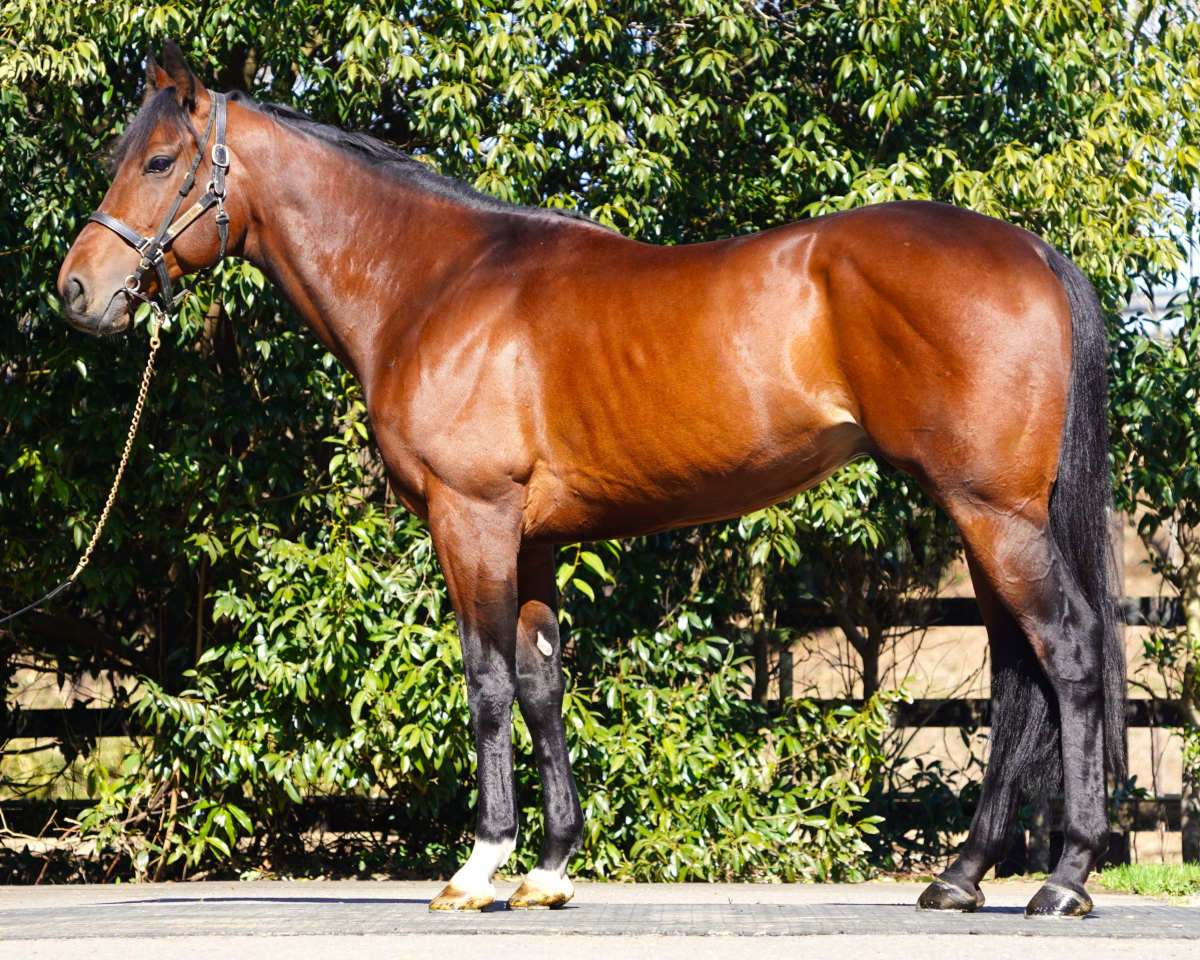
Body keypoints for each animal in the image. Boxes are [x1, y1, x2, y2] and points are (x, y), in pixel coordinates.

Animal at [60, 41, 1124, 917]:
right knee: (1016, 670)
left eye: (160, 163)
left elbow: (487, 682)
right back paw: (962, 876)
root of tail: (1032, 250)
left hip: (995, 514)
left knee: (1067, 653)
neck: (432, 285)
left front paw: (479, 867)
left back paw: (1064, 879)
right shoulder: (531, 540)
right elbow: (541, 686)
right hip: (981, 517)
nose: (76, 292)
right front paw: (549, 869)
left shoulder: (473, 521)